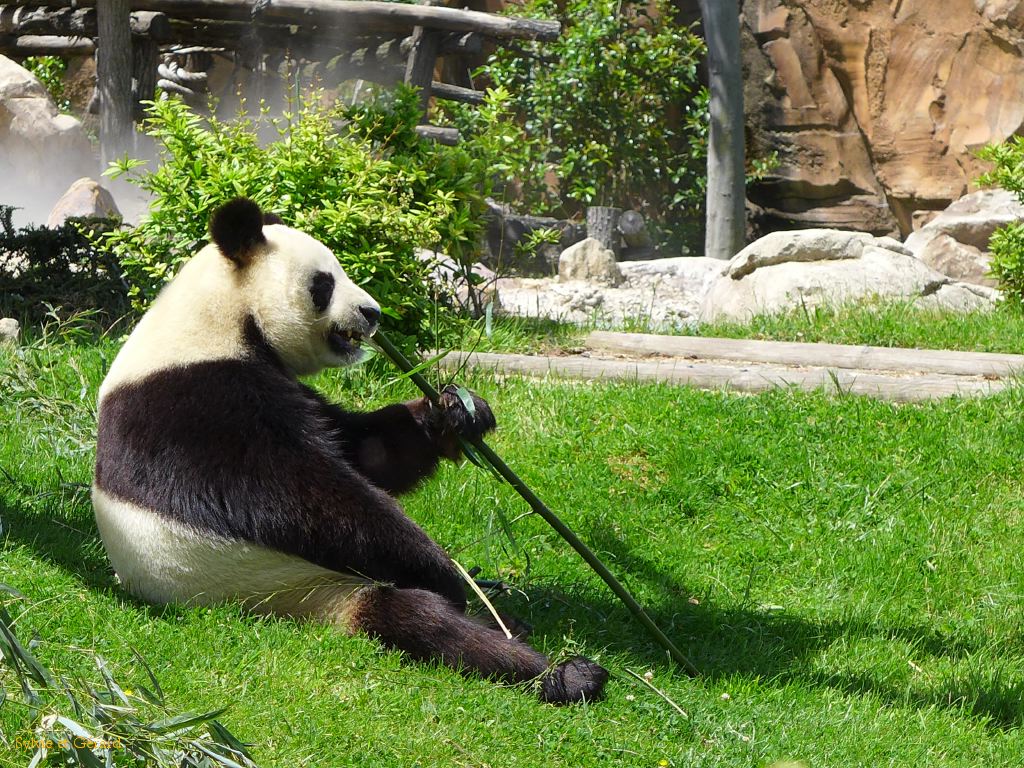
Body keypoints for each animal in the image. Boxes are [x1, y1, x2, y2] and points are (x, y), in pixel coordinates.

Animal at [92, 198, 608, 705]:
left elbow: (365, 451)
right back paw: (561, 673)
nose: (372, 312)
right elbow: (294, 496)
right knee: (418, 619)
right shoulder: (197, 399)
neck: (221, 317)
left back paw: (518, 629)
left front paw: (456, 413)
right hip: (290, 588)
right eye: (324, 283)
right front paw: (437, 565)